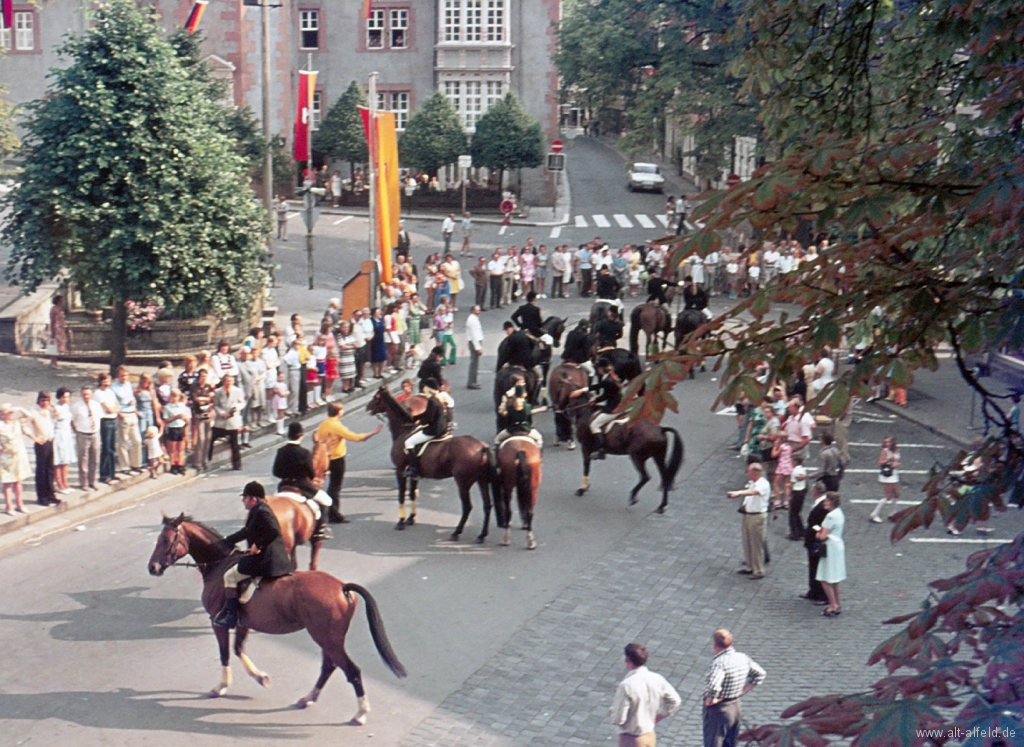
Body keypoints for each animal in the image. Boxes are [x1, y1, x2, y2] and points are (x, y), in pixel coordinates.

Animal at [147, 512, 407, 721]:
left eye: (166, 540)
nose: (152, 568)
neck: (219, 565)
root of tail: (342, 587)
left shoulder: (218, 623)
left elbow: (225, 654)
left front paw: (221, 687)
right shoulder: (244, 623)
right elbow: (238, 649)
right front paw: (261, 678)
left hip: (327, 638)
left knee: (351, 671)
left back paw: (360, 713)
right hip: (328, 639)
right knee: (329, 666)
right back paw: (308, 698)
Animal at [368, 387, 495, 541]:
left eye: (376, 397)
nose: (367, 407)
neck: (404, 431)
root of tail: (481, 447)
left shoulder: (400, 470)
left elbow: (401, 495)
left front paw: (401, 522)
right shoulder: (414, 474)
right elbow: (412, 493)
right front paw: (411, 518)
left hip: (463, 482)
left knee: (467, 506)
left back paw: (456, 532)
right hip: (482, 480)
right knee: (487, 505)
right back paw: (482, 535)